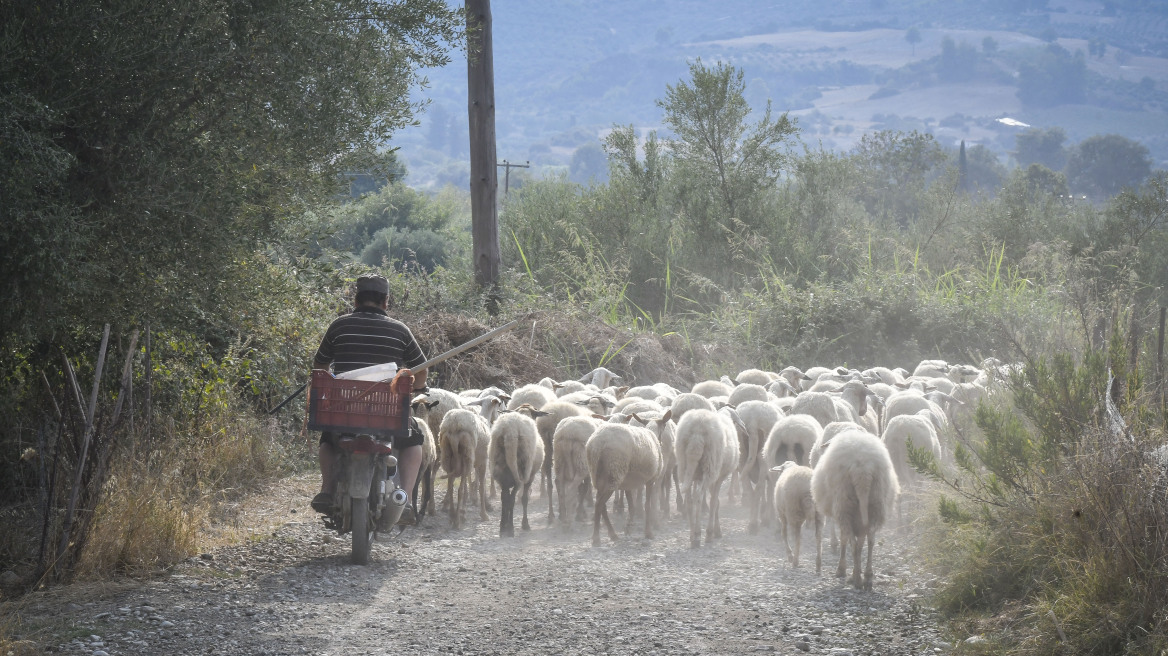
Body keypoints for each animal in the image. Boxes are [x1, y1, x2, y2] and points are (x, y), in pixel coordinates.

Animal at [490, 403, 548, 536]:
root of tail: (509, 431)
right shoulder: (530, 477)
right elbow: (524, 499)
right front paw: (525, 524)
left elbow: (506, 498)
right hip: (521, 470)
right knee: (512, 498)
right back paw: (510, 529)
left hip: (501, 471)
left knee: (504, 498)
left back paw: (503, 527)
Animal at [812, 427, 901, 590]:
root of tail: (863, 470)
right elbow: (861, 541)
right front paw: (856, 570)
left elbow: (845, 539)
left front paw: (843, 570)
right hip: (876, 503)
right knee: (870, 539)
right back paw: (867, 577)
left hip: (844, 504)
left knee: (852, 543)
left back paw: (856, 579)